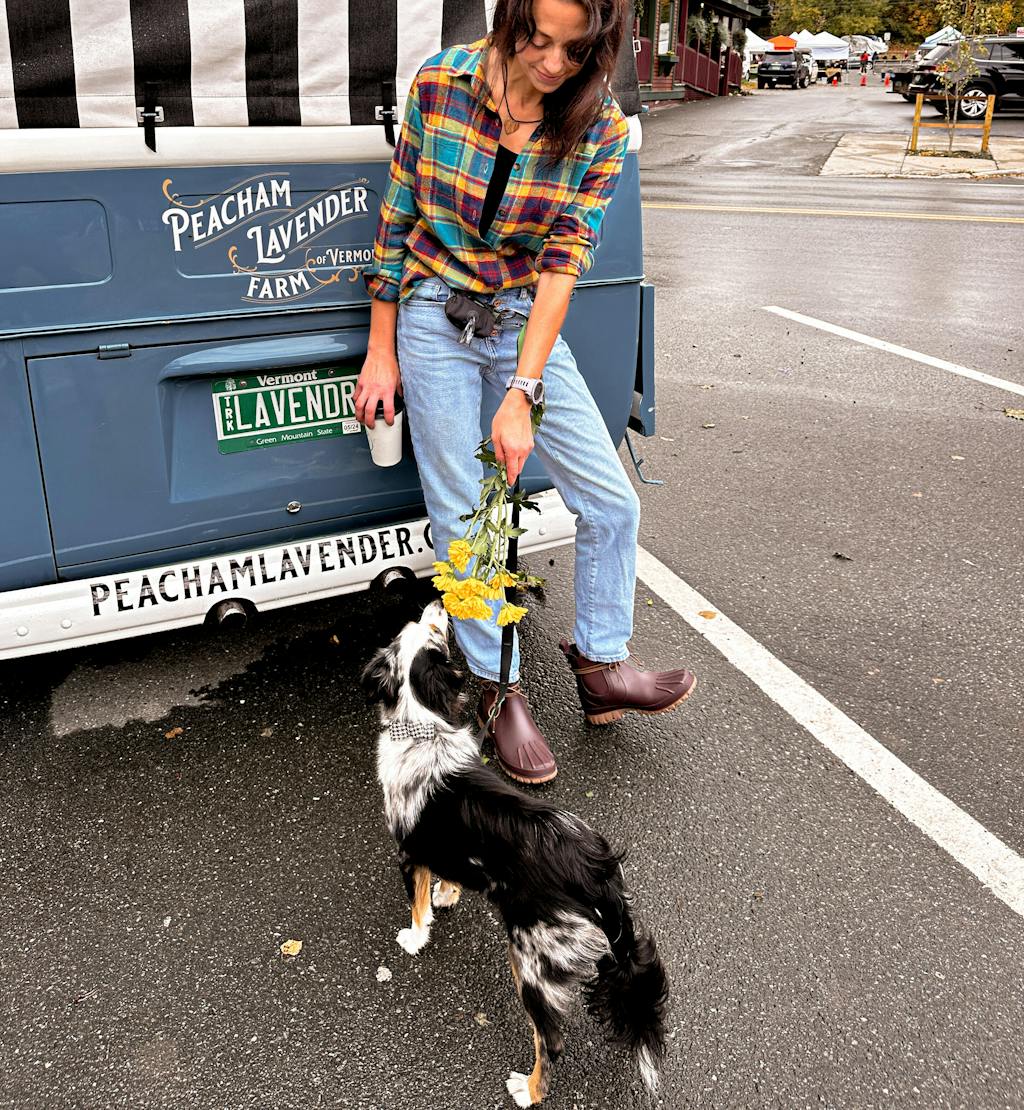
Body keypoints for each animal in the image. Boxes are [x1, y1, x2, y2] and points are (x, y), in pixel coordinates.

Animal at [360, 600, 669, 1107]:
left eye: (428, 631)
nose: (438, 603)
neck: (422, 728)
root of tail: (598, 875)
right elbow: (450, 875)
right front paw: (448, 894)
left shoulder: (410, 852)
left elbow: (417, 906)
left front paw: (414, 937)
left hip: (531, 962)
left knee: (551, 1041)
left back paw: (528, 1090)